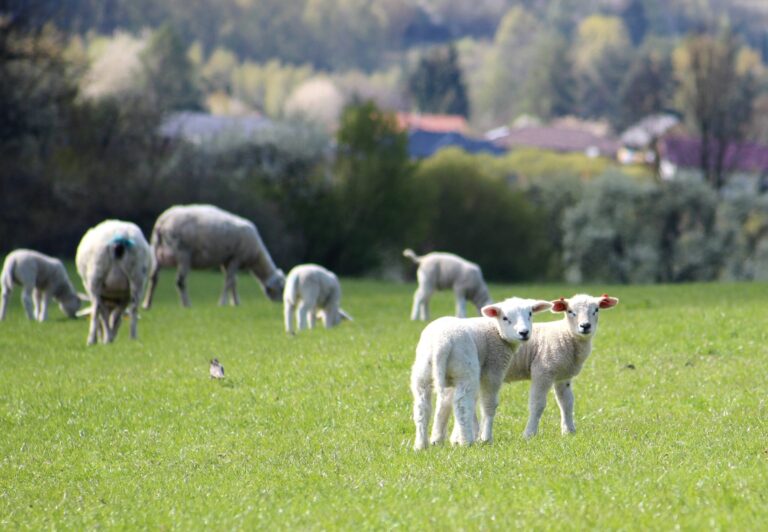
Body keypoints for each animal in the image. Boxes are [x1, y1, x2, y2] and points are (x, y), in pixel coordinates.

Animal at [143, 204, 285, 309]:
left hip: (156, 252)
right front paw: (223, 303)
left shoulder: (226, 260)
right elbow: (229, 281)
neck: (255, 256)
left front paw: (235, 302)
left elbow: (233, 281)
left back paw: (147, 304)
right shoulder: (236, 258)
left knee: (153, 278)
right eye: (281, 288)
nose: (280, 304)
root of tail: (163, 221)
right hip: (183, 253)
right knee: (180, 281)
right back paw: (187, 304)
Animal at [410, 297, 552, 451]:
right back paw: (466, 442)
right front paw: (485, 438)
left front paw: (441, 439)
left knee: (422, 407)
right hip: (465, 371)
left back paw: (421, 445)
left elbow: (446, 404)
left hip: (423, 372)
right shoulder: (493, 370)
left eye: (530, 313)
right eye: (505, 318)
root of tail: (441, 342)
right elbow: (488, 404)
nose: (524, 332)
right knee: (462, 405)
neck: (496, 330)